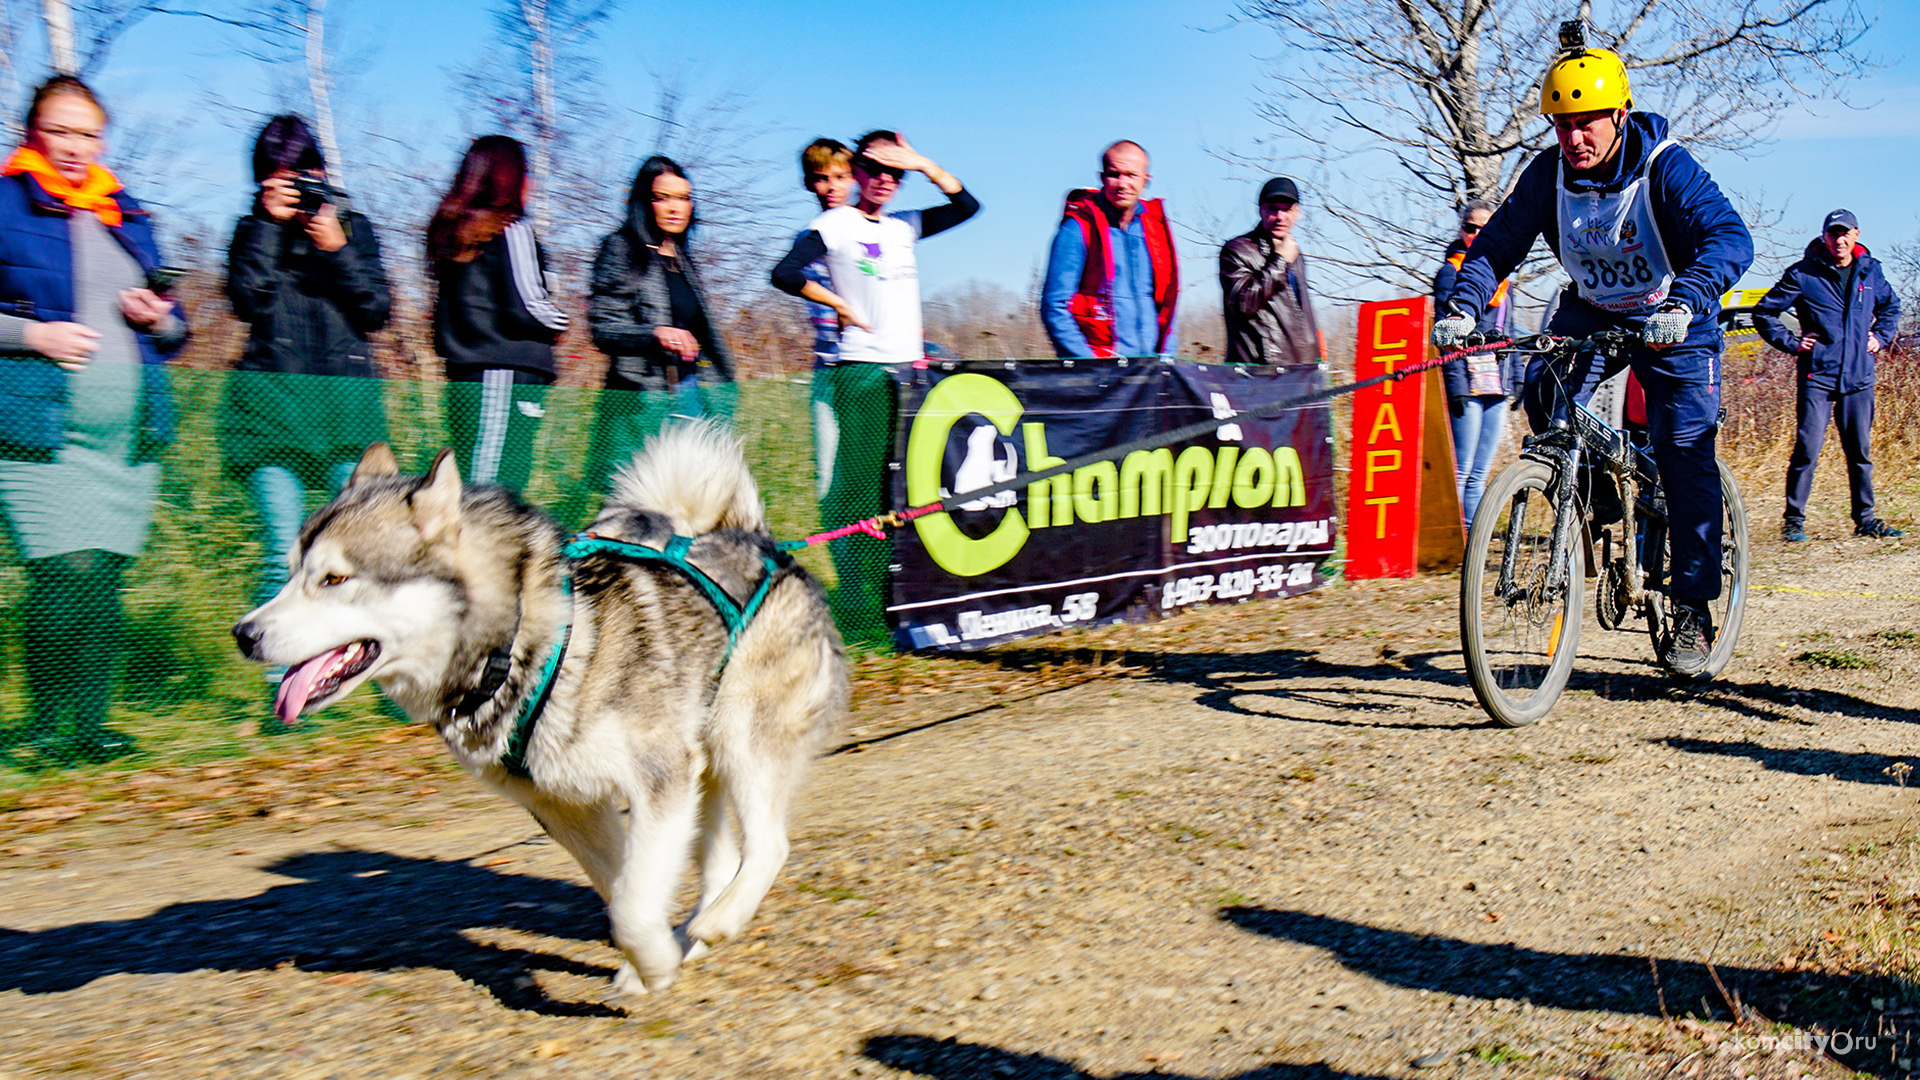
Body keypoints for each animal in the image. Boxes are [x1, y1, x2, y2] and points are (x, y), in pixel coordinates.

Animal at [232, 420, 848, 991]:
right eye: (290, 572)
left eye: (335, 578)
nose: (244, 635)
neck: (523, 646)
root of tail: (757, 541)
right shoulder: (563, 803)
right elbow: (623, 888)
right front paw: (655, 958)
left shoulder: (658, 779)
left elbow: (630, 905)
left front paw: (652, 963)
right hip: (705, 763)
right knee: (720, 862)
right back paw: (696, 932)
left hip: (742, 737)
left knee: (768, 845)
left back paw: (718, 922)